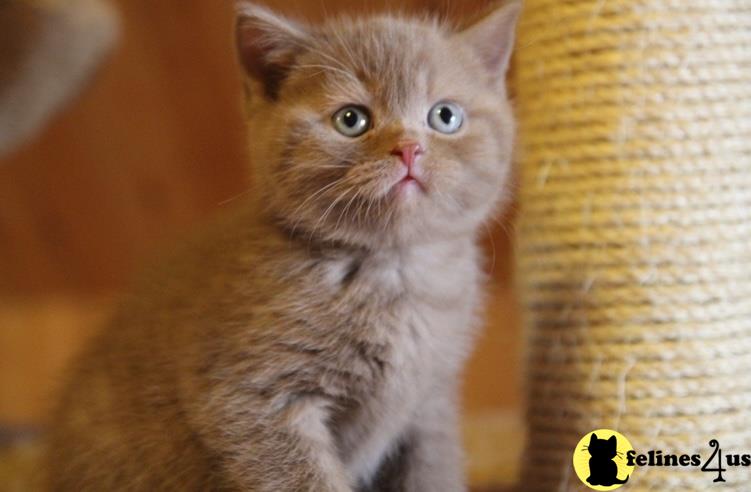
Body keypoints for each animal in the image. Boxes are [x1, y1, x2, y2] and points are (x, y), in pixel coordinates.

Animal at [44, 1, 520, 490]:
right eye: (351, 120)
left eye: (445, 116)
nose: (409, 149)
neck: (394, 271)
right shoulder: (252, 399)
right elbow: (302, 476)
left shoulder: (430, 409)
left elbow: (433, 473)